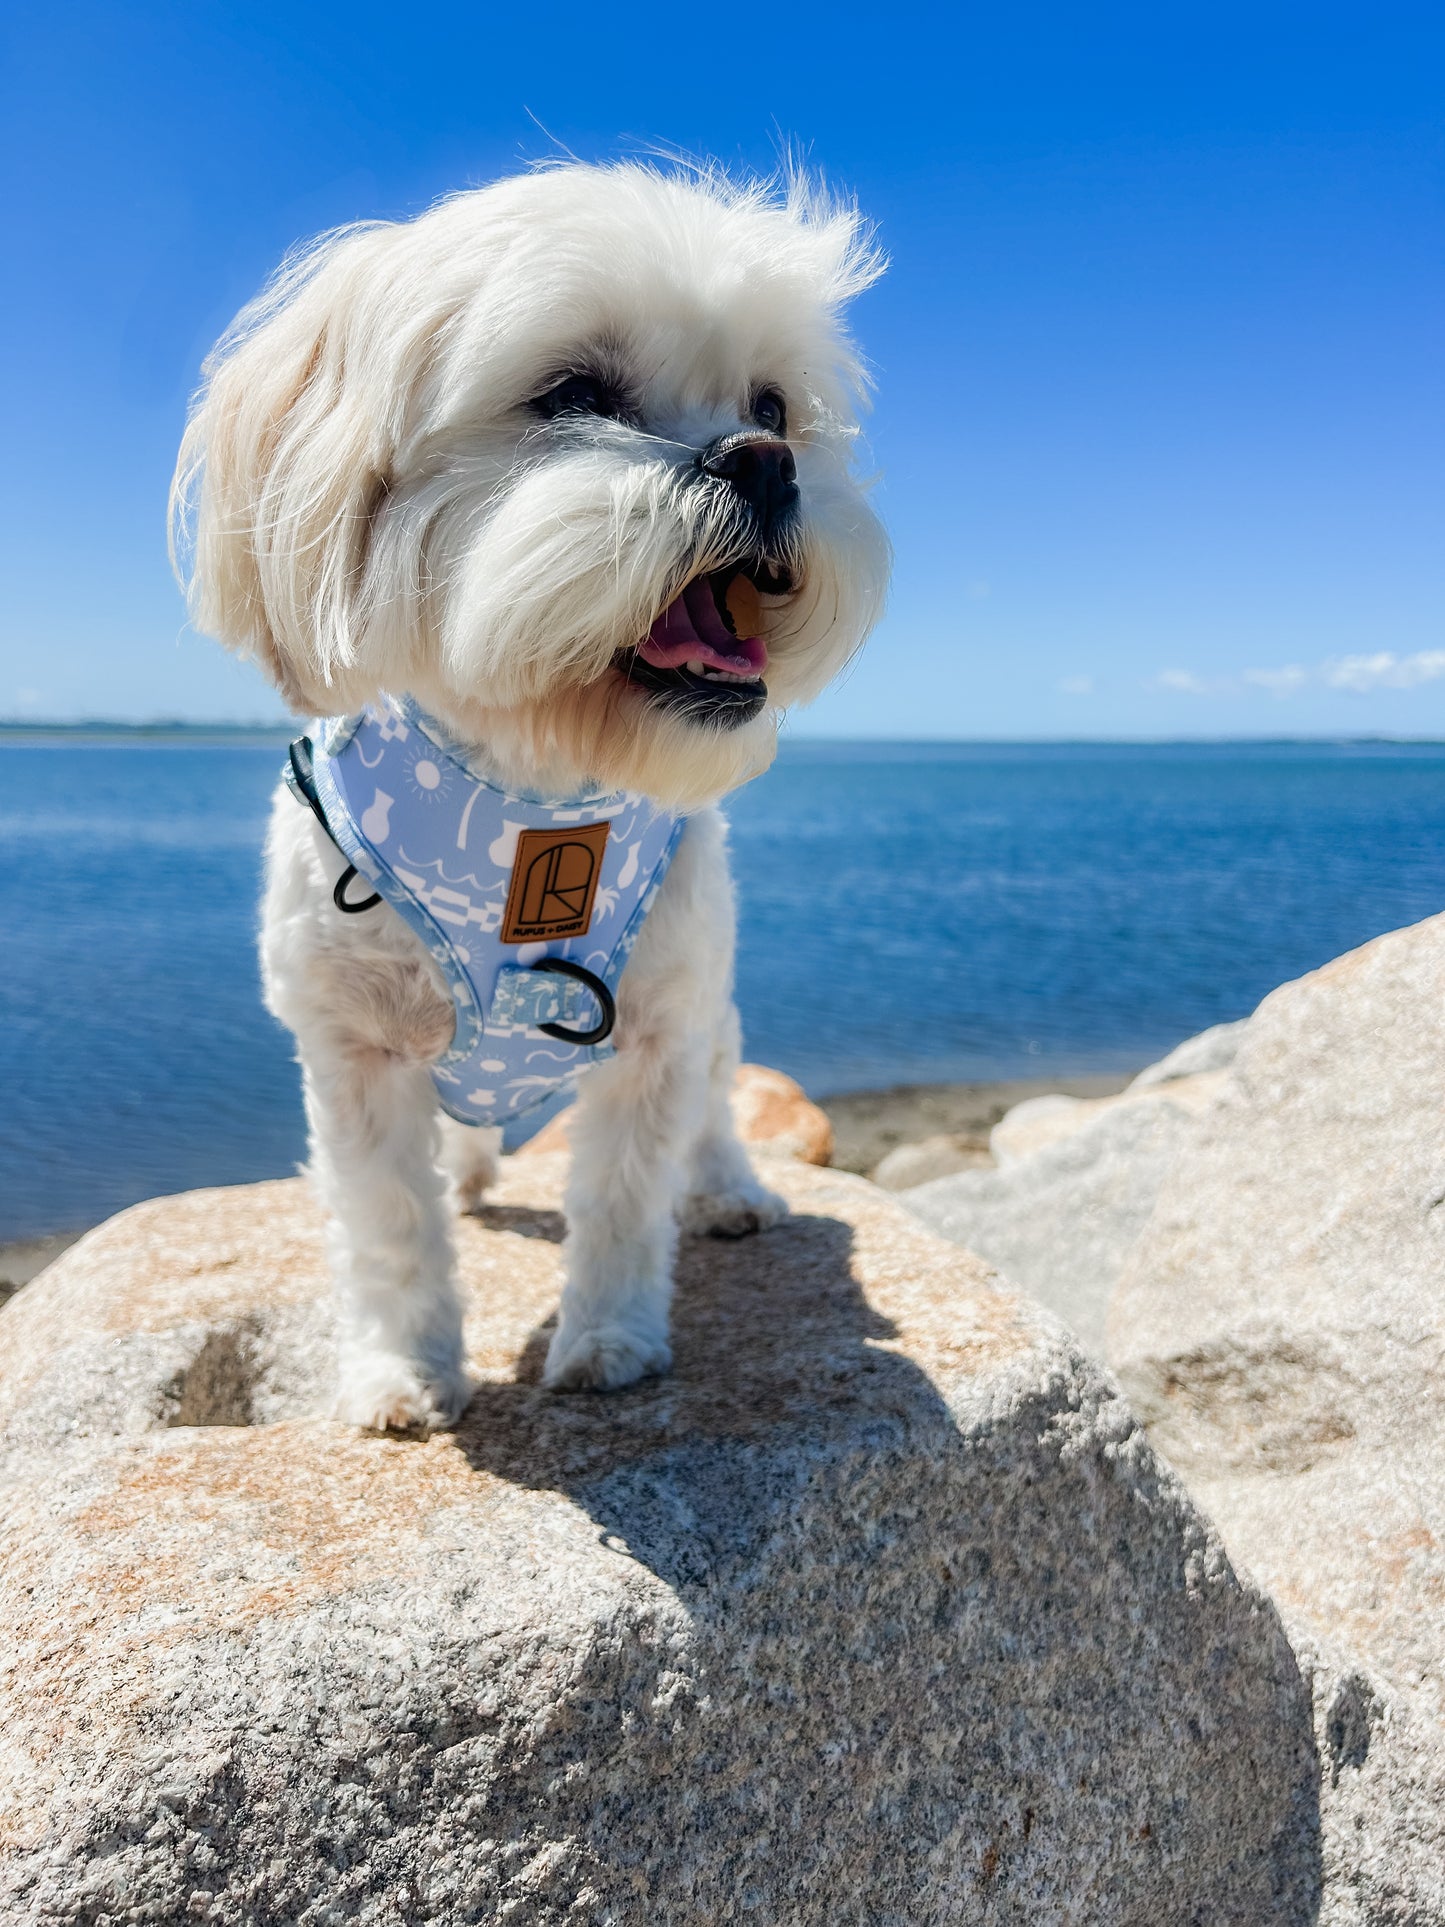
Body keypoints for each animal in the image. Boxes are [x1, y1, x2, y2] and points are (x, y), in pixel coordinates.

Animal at [174, 165, 890, 1433]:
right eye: (570, 394)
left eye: (772, 400)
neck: (527, 798)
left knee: (716, 1102)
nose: (764, 457)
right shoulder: (351, 1050)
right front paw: (402, 1373)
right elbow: (389, 1223)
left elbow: (625, 1193)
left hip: (711, 1003)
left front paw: (608, 1340)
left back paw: (728, 1190)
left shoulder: (654, 1026)